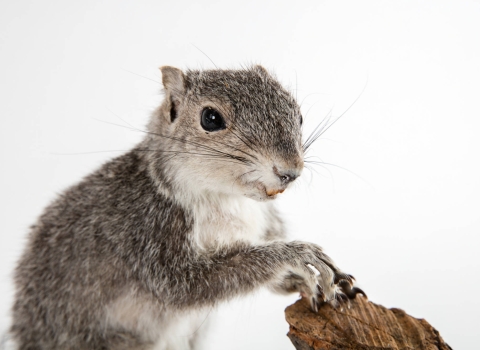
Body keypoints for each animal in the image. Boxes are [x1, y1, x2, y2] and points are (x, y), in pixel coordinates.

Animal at [8, 64, 364, 348]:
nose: (290, 171)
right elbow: (185, 286)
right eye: (210, 118)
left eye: (298, 114)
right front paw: (298, 256)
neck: (226, 199)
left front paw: (310, 282)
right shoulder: (149, 232)